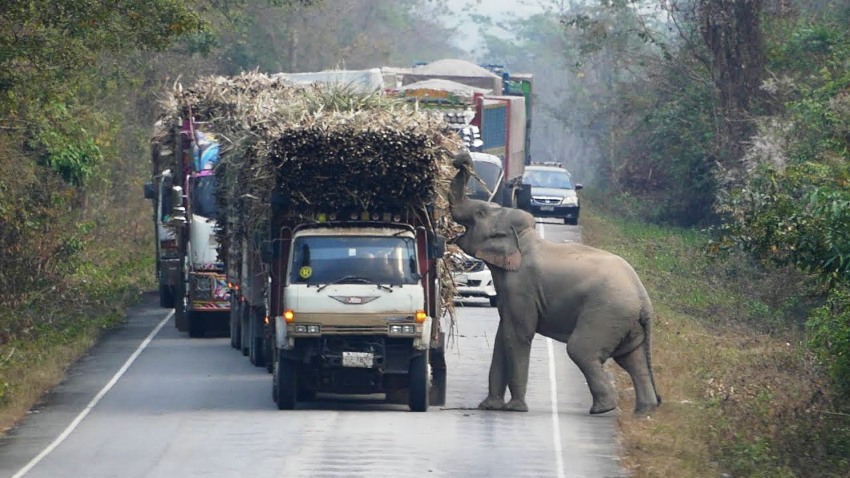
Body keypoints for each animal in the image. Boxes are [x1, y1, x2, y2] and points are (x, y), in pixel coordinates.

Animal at [448, 153, 660, 414]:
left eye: (479, 213)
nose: (460, 159)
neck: (525, 238)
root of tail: (644, 300)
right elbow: (502, 334)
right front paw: (489, 406)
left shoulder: (522, 286)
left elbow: (517, 335)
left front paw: (515, 409)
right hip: (627, 322)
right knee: (633, 359)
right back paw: (644, 411)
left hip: (606, 313)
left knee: (581, 350)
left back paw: (602, 409)